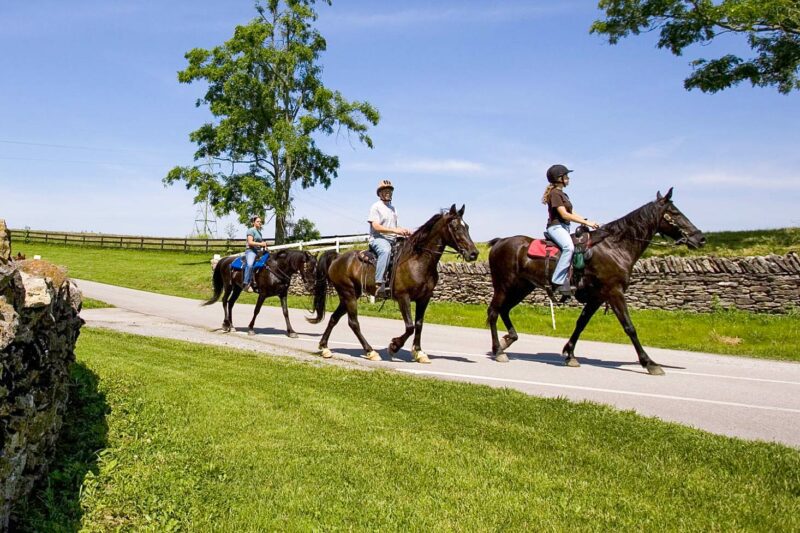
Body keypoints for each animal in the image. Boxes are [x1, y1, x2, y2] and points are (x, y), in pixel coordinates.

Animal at [308, 203, 482, 362]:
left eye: (467, 226)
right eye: (455, 227)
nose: (474, 253)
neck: (418, 261)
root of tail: (337, 257)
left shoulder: (424, 298)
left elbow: (419, 324)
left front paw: (419, 352)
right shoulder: (403, 297)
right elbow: (410, 326)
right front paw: (394, 346)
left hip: (350, 295)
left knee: (334, 318)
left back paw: (324, 348)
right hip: (348, 293)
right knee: (353, 322)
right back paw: (370, 351)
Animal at [484, 189, 704, 376]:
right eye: (675, 213)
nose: (700, 238)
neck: (614, 247)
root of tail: (500, 242)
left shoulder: (598, 297)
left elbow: (581, 323)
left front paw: (570, 354)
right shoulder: (614, 292)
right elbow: (629, 327)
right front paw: (649, 363)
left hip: (522, 287)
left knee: (504, 310)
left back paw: (508, 340)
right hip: (505, 286)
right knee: (494, 312)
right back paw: (498, 351)